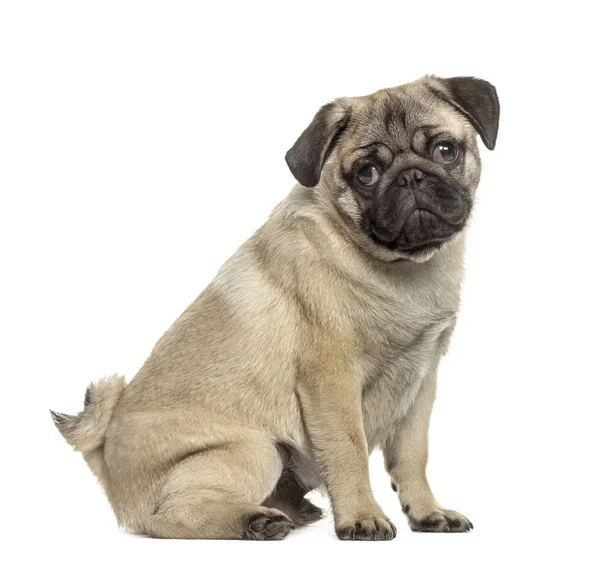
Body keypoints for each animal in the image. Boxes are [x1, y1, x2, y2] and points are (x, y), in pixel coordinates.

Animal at [52, 74, 502, 536]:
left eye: (445, 151)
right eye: (367, 174)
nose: (411, 178)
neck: (401, 270)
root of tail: (104, 455)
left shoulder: (420, 386)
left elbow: (413, 457)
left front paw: (427, 511)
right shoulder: (332, 381)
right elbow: (349, 452)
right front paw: (362, 517)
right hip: (255, 450)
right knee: (168, 517)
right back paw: (255, 521)